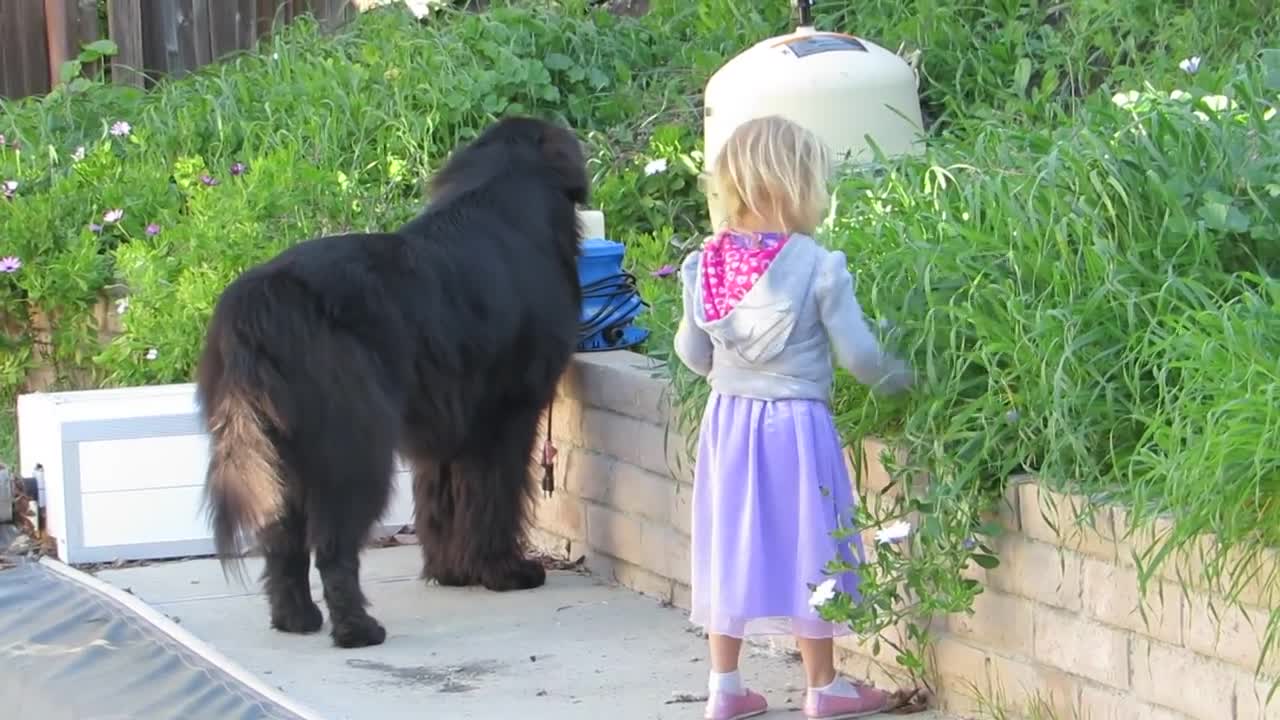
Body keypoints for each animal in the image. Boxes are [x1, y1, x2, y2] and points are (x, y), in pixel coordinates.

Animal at [195, 116, 588, 645]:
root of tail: (259, 303)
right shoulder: (506, 417)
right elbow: (494, 497)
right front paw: (503, 572)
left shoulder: (446, 427)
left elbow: (441, 502)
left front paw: (452, 572)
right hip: (355, 447)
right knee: (333, 546)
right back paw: (357, 629)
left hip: (282, 450)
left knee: (283, 540)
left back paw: (296, 620)